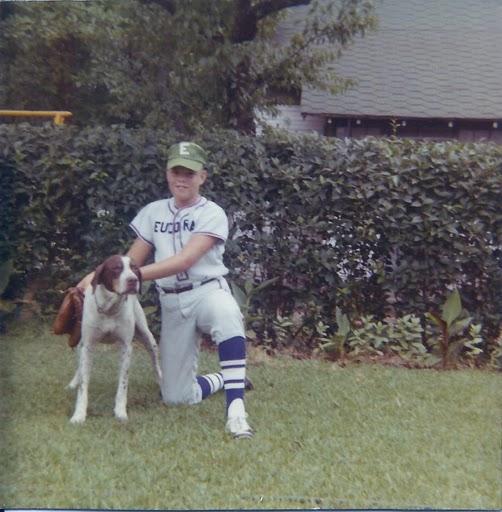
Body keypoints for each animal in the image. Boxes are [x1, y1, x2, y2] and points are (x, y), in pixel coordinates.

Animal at [65, 253, 162, 424]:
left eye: (134, 268)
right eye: (116, 268)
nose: (133, 280)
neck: (109, 309)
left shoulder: (126, 347)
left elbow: (123, 384)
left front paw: (120, 412)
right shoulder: (87, 345)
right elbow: (83, 385)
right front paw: (79, 415)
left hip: (148, 338)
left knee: (155, 363)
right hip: (80, 344)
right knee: (80, 367)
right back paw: (73, 383)